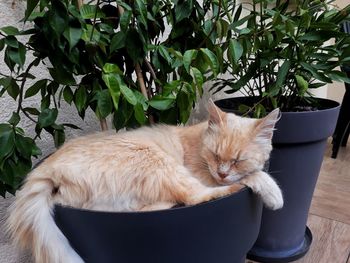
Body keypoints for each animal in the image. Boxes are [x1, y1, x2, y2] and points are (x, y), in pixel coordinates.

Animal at [6, 100, 284, 262]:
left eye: (238, 160)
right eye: (215, 155)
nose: (223, 173)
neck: (197, 139)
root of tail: (47, 168)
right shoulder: (203, 175)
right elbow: (256, 175)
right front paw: (273, 193)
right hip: (156, 160)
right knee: (193, 197)